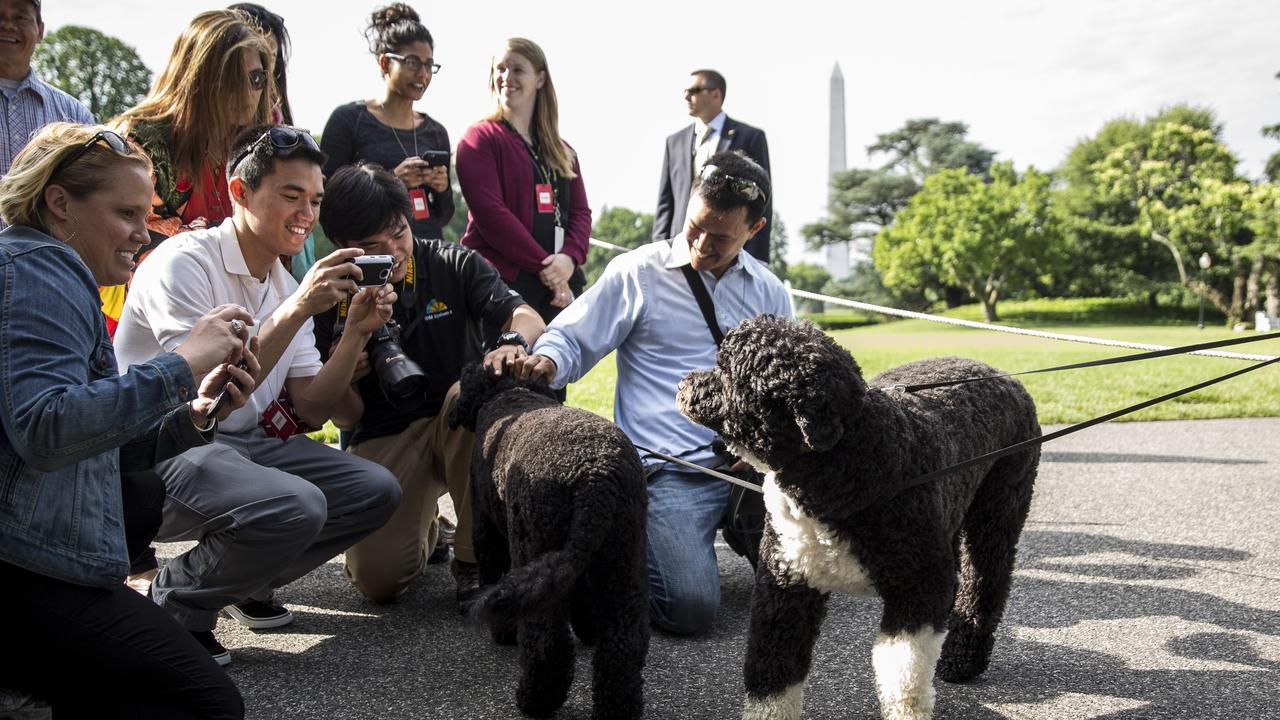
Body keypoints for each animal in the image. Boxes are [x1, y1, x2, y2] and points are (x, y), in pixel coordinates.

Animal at [450, 363, 650, 717]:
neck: (510, 392)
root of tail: (596, 478)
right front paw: (587, 627)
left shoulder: (487, 531)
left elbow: (492, 573)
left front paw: (503, 632)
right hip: (622, 554)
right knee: (624, 637)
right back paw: (618, 707)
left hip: (534, 541)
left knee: (547, 641)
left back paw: (535, 700)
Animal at [680, 316, 1039, 717]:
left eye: (729, 372)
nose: (684, 384)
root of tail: (1004, 376)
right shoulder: (785, 587)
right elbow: (771, 674)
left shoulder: (919, 588)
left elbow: (902, 674)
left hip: (999, 508)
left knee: (985, 580)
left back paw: (962, 660)